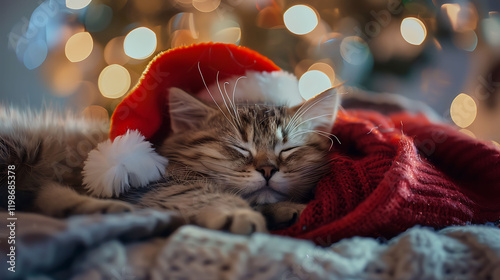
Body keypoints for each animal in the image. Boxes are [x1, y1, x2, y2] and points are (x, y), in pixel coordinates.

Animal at [0, 87, 340, 234]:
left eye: (288, 150)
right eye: (239, 148)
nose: (268, 169)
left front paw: (291, 209)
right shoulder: (156, 184)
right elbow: (204, 193)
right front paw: (238, 212)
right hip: (19, 148)